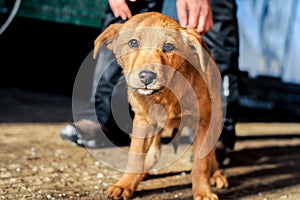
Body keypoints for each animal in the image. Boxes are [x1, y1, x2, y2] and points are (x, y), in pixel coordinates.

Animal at [94, 11, 227, 199]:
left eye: (169, 46)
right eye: (133, 43)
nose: (147, 77)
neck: (166, 94)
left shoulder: (203, 122)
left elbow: (201, 163)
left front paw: (203, 191)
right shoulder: (143, 121)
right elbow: (135, 156)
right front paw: (125, 184)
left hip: (215, 117)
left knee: (211, 151)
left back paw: (216, 175)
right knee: (154, 153)